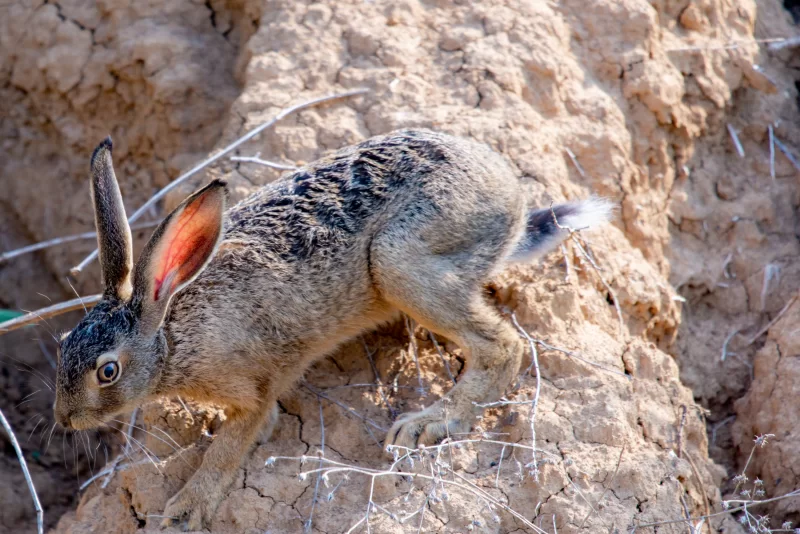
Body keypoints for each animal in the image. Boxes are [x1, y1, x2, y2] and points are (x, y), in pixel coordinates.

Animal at [54, 129, 612, 530]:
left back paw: (427, 423)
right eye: (62, 346)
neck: (170, 335)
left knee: (502, 346)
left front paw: (184, 512)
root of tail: (510, 196)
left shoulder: (255, 385)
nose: (64, 419)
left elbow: (232, 445)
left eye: (107, 371)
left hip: (398, 260)